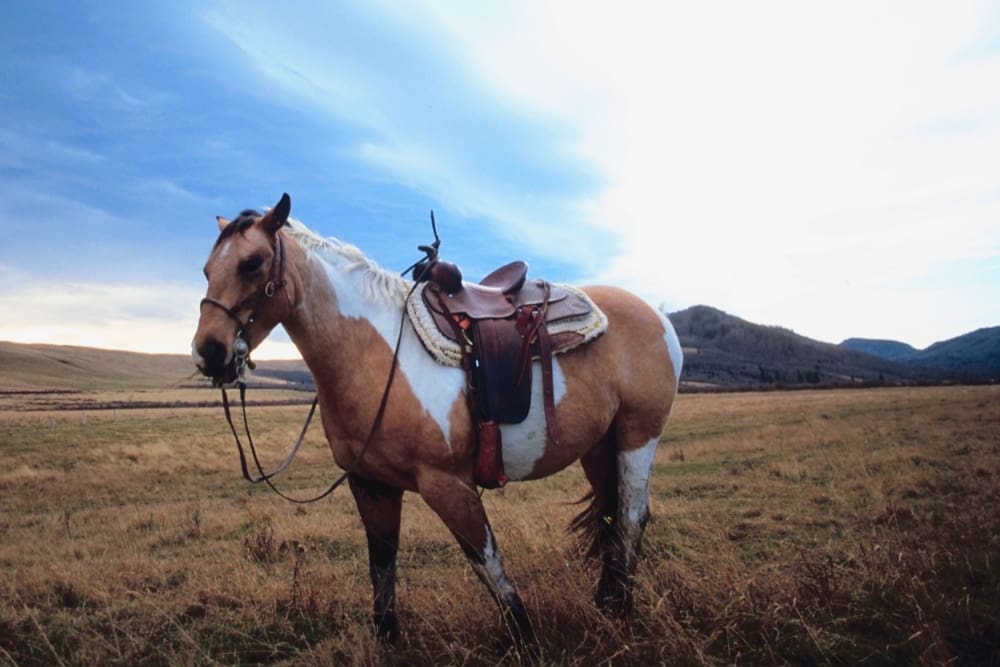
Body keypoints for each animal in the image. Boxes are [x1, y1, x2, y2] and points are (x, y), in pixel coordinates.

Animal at [191, 193, 684, 652]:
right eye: (206, 269)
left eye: (252, 263)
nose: (208, 353)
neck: (374, 353)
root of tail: (656, 314)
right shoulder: (371, 485)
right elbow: (382, 566)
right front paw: (389, 641)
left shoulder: (448, 484)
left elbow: (487, 561)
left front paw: (526, 641)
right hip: (599, 445)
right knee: (609, 514)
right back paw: (607, 605)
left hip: (639, 435)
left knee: (631, 515)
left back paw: (622, 610)